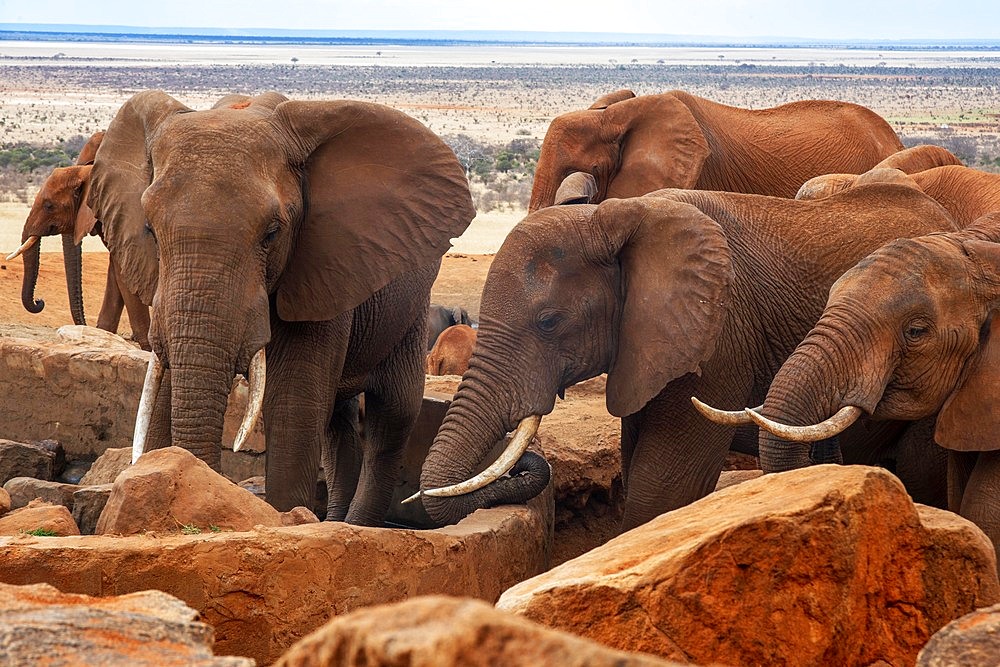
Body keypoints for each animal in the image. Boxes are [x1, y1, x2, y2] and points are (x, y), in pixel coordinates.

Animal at [88, 90, 474, 528]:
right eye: (149, 230)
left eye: (272, 234)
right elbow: (164, 389)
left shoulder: (322, 262)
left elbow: (291, 405)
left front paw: (286, 518)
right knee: (338, 425)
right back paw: (335, 520)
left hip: (411, 308)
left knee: (391, 417)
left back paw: (354, 524)